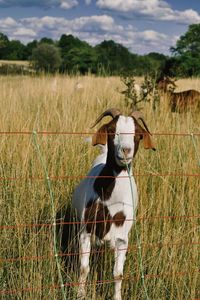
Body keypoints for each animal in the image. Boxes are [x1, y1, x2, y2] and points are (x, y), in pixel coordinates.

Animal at [72, 108, 155, 300]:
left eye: (138, 134)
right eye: (111, 130)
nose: (125, 151)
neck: (111, 202)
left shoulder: (122, 239)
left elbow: (118, 274)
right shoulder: (85, 231)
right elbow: (84, 268)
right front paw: (80, 294)